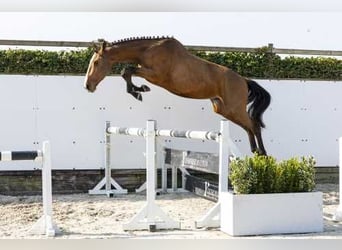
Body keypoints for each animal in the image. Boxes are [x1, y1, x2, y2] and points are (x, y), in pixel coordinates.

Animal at [84, 36, 272, 155]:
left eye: (96, 62)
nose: (87, 86)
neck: (148, 50)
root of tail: (244, 80)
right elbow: (127, 72)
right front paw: (138, 91)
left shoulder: (156, 75)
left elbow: (127, 70)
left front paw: (140, 91)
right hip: (224, 110)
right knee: (248, 127)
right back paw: (255, 152)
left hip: (234, 109)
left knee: (254, 125)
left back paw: (263, 153)